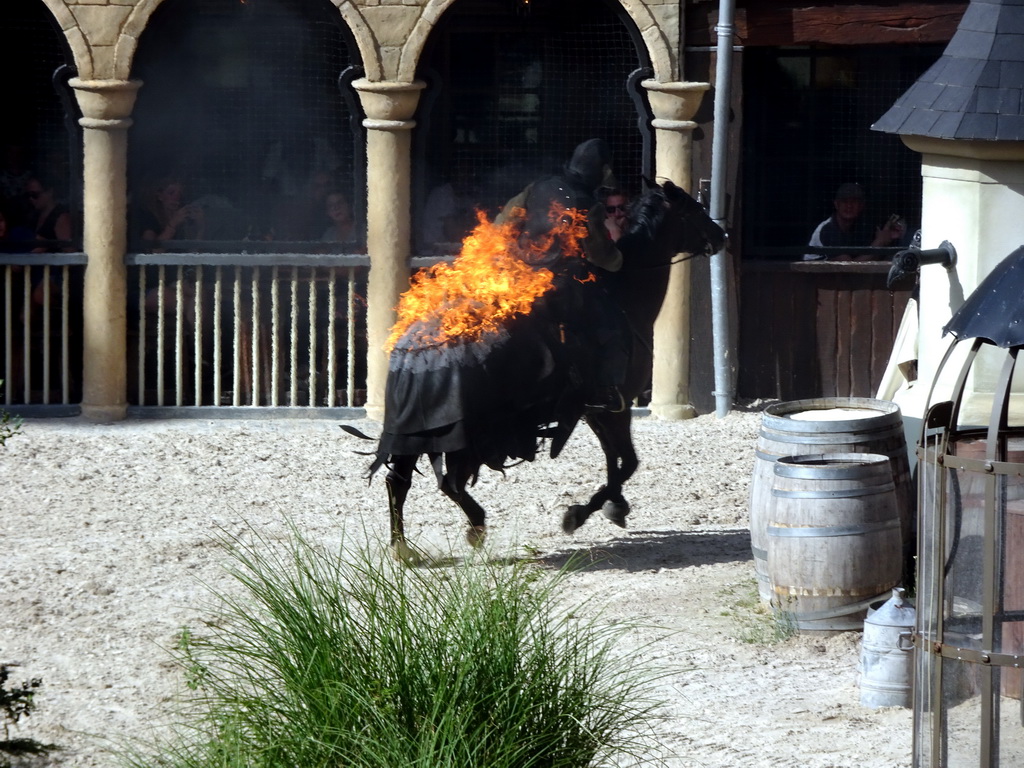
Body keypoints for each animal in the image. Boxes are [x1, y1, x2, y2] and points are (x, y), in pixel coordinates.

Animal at [364, 178, 724, 557]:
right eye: (694, 209)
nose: (722, 235)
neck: (624, 296)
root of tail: (417, 349)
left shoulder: (593, 411)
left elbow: (615, 461)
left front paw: (613, 506)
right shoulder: (615, 407)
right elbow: (626, 463)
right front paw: (582, 513)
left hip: (414, 433)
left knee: (399, 481)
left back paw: (403, 548)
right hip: (461, 436)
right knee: (449, 483)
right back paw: (474, 525)